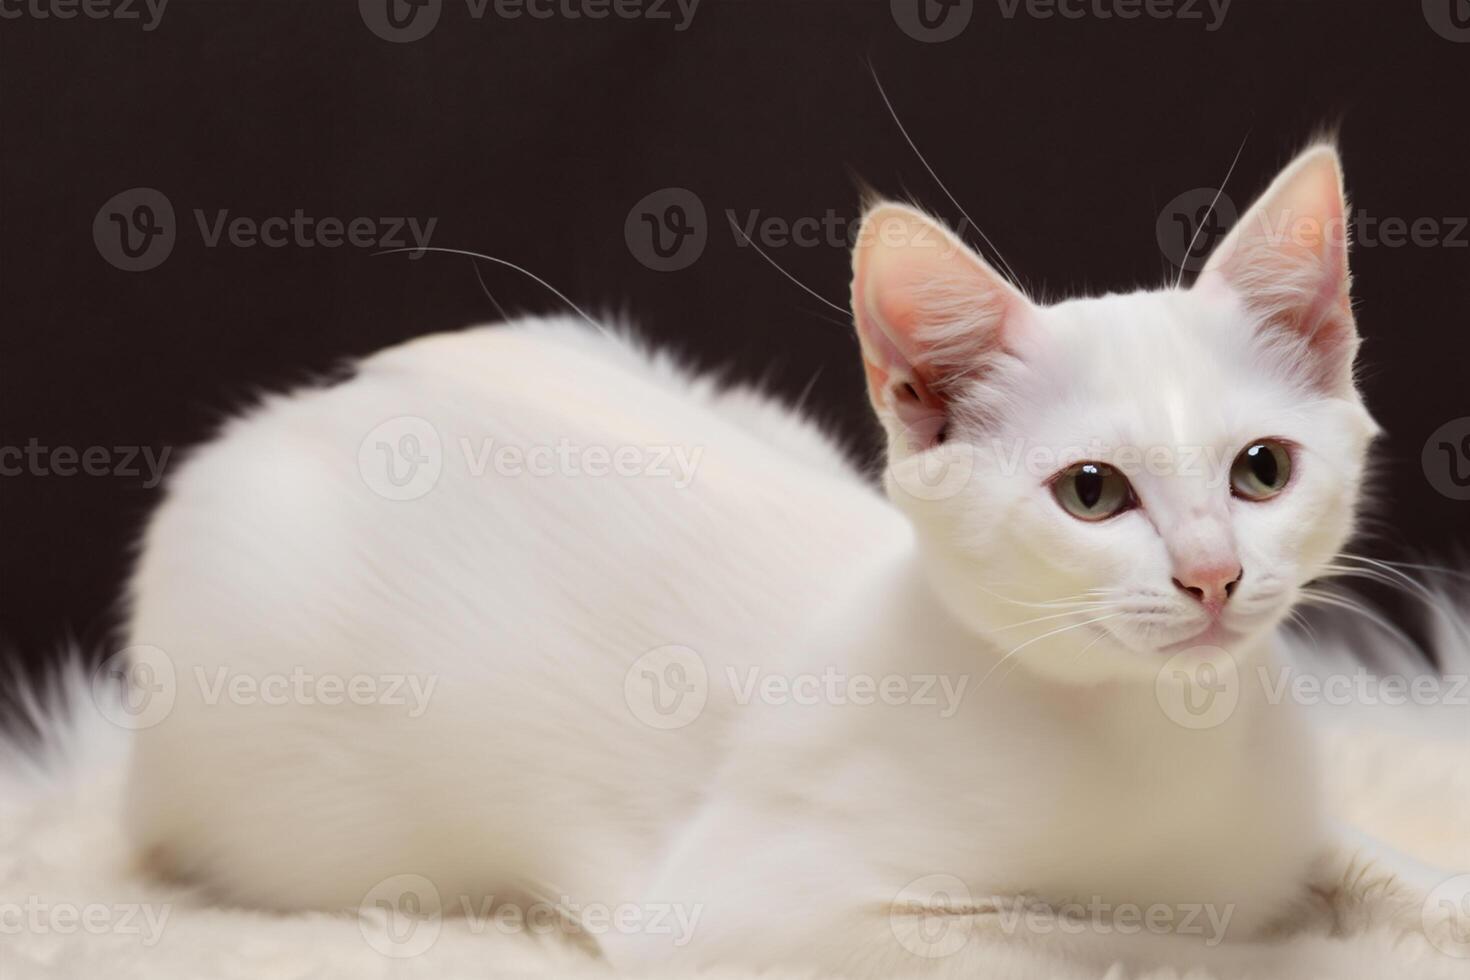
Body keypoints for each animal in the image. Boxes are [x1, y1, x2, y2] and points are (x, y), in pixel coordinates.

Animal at [123, 145, 1411, 975]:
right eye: (1091, 492)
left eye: (1260, 470)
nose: (1212, 575)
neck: (1157, 742)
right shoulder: (740, 911)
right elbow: (1091, 937)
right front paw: (1242, 942)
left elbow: (1368, 872)